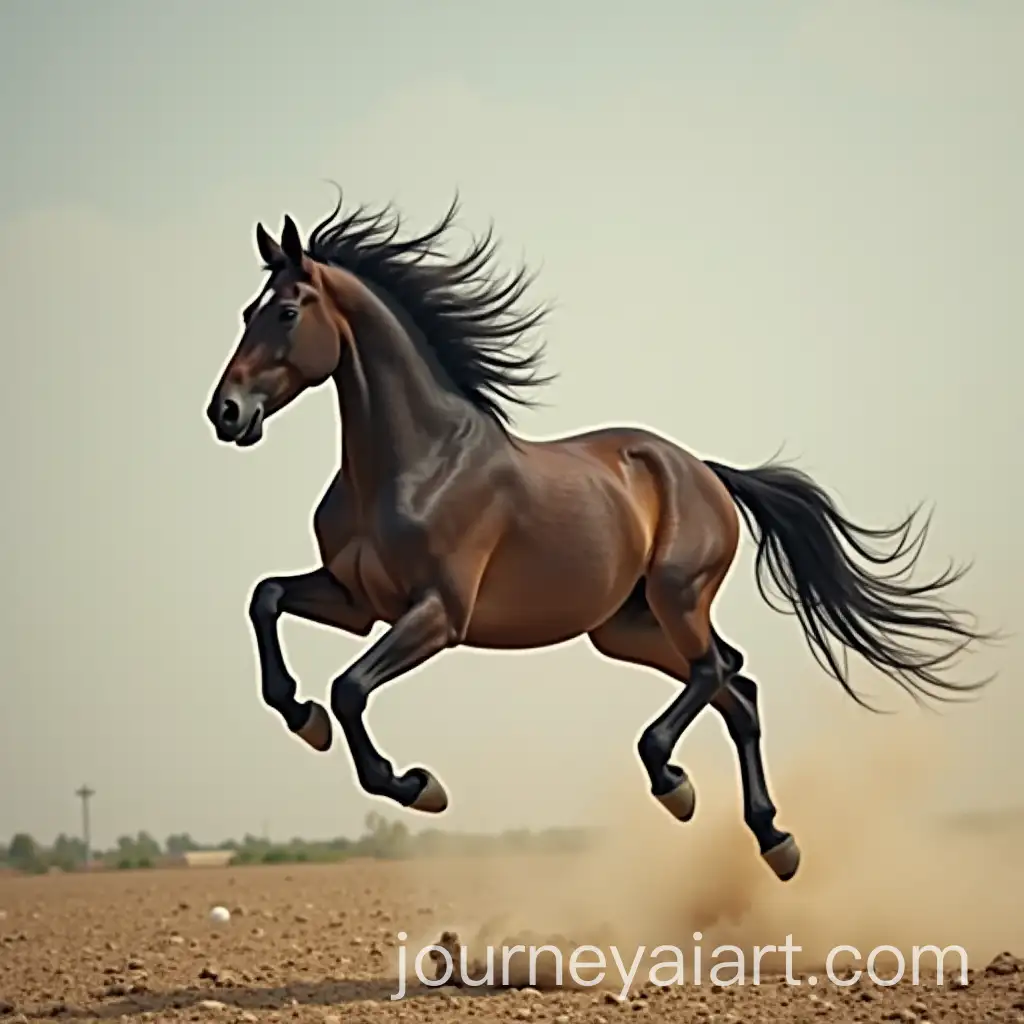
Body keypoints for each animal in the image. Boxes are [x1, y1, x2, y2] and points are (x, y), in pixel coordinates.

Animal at [205, 191, 993, 882]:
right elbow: (266, 599)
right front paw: (300, 715)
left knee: (714, 672)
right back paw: (774, 839)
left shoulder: (437, 615)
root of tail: (703, 469)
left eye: (285, 311)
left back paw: (675, 783)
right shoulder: (357, 601)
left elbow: (350, 688)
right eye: (245, 311)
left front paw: (416, 784)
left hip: (676, 599)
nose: (225, 412)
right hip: (626, 627)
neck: (416, 463)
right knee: (738, 686)